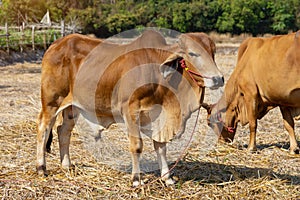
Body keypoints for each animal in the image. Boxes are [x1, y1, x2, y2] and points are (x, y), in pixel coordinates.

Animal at [36, 29, 224, 186]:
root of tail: (56, 44)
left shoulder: (159, 118)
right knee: (43, 128)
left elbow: (161, 147)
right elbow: (137, 146)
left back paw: (67, 165)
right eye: (192, 53)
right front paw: (136, 179)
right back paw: (41, 168)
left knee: (63, 131)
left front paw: (167, 178)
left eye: (213, 53)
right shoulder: (131, 110)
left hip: (72, 107)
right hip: (52, 101)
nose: (218, 79)